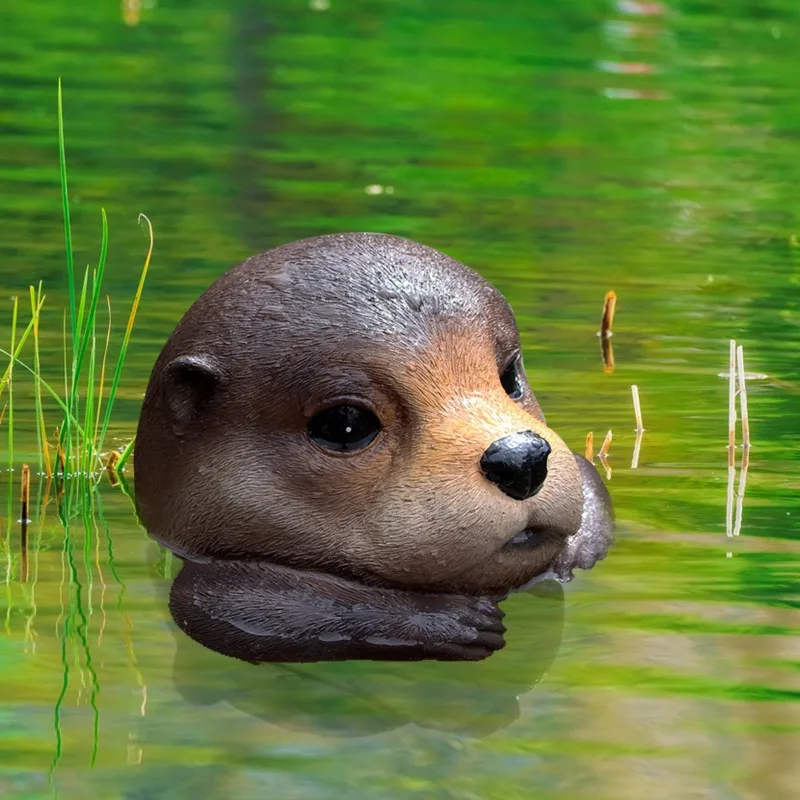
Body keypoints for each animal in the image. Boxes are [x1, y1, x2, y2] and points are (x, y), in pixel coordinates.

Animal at [134, 233, 613, 662]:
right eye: (346, 424)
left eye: (510, 375)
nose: (521, 458)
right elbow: (215, 603)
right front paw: (448, 620)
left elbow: (590, 481)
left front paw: (572, 553)